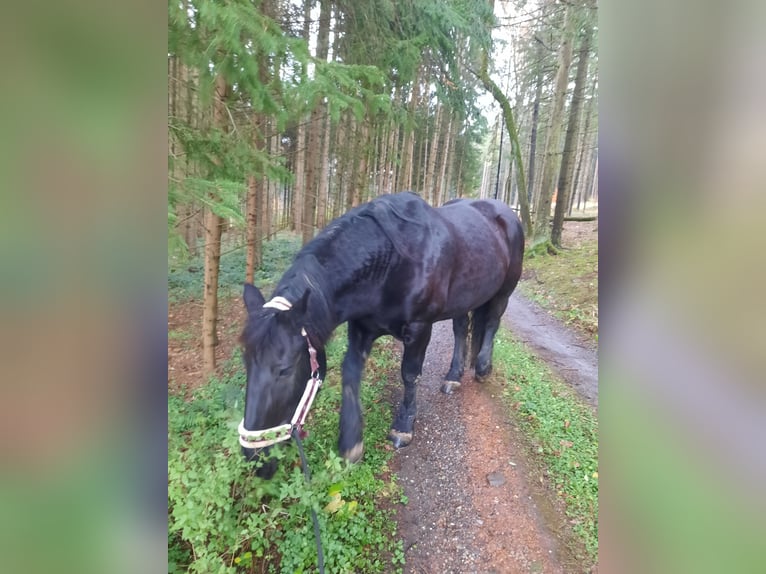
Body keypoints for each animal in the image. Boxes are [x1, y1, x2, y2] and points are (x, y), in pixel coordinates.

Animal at [240, 192, 524, 476]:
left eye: (285, 370)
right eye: (247, 365)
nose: (254, 458)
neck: (390, 261)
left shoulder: (420, 327)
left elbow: (409, 374)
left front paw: (403, 427)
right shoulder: (361, 328)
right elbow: (350, 372)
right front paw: (351, 441)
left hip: (504, 291)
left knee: (491, 323)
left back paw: (482, 368)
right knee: (460, 328)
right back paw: (453, 376)